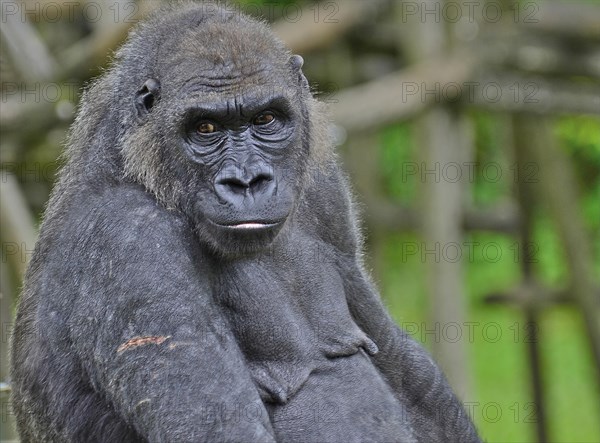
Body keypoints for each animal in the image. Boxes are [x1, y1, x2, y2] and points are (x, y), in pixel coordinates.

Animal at [10, 3, 478, 443]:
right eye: (205, 127)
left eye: (265, 119)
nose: (247, 181)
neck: (140, 166)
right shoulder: (128, 240)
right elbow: (219, 426)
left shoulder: (325, 188)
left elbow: (398, 358)